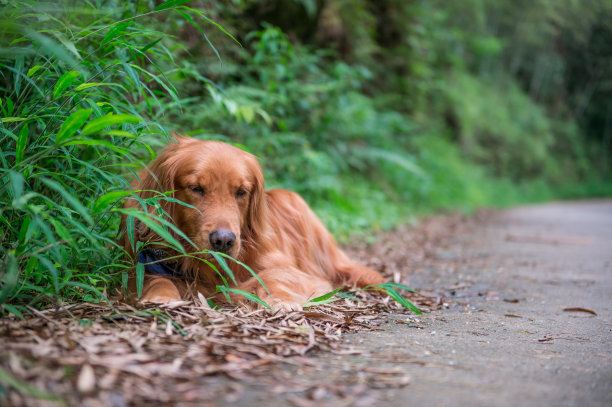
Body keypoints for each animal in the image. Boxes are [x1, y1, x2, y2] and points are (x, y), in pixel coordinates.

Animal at [122, 137, 384, 310]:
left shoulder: (294, 271)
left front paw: (281, 299)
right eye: (196, 188)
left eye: (241, 192)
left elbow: (275, 276)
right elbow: (154, 279)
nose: (223, 240)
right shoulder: (144, 263)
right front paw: (160, 296)